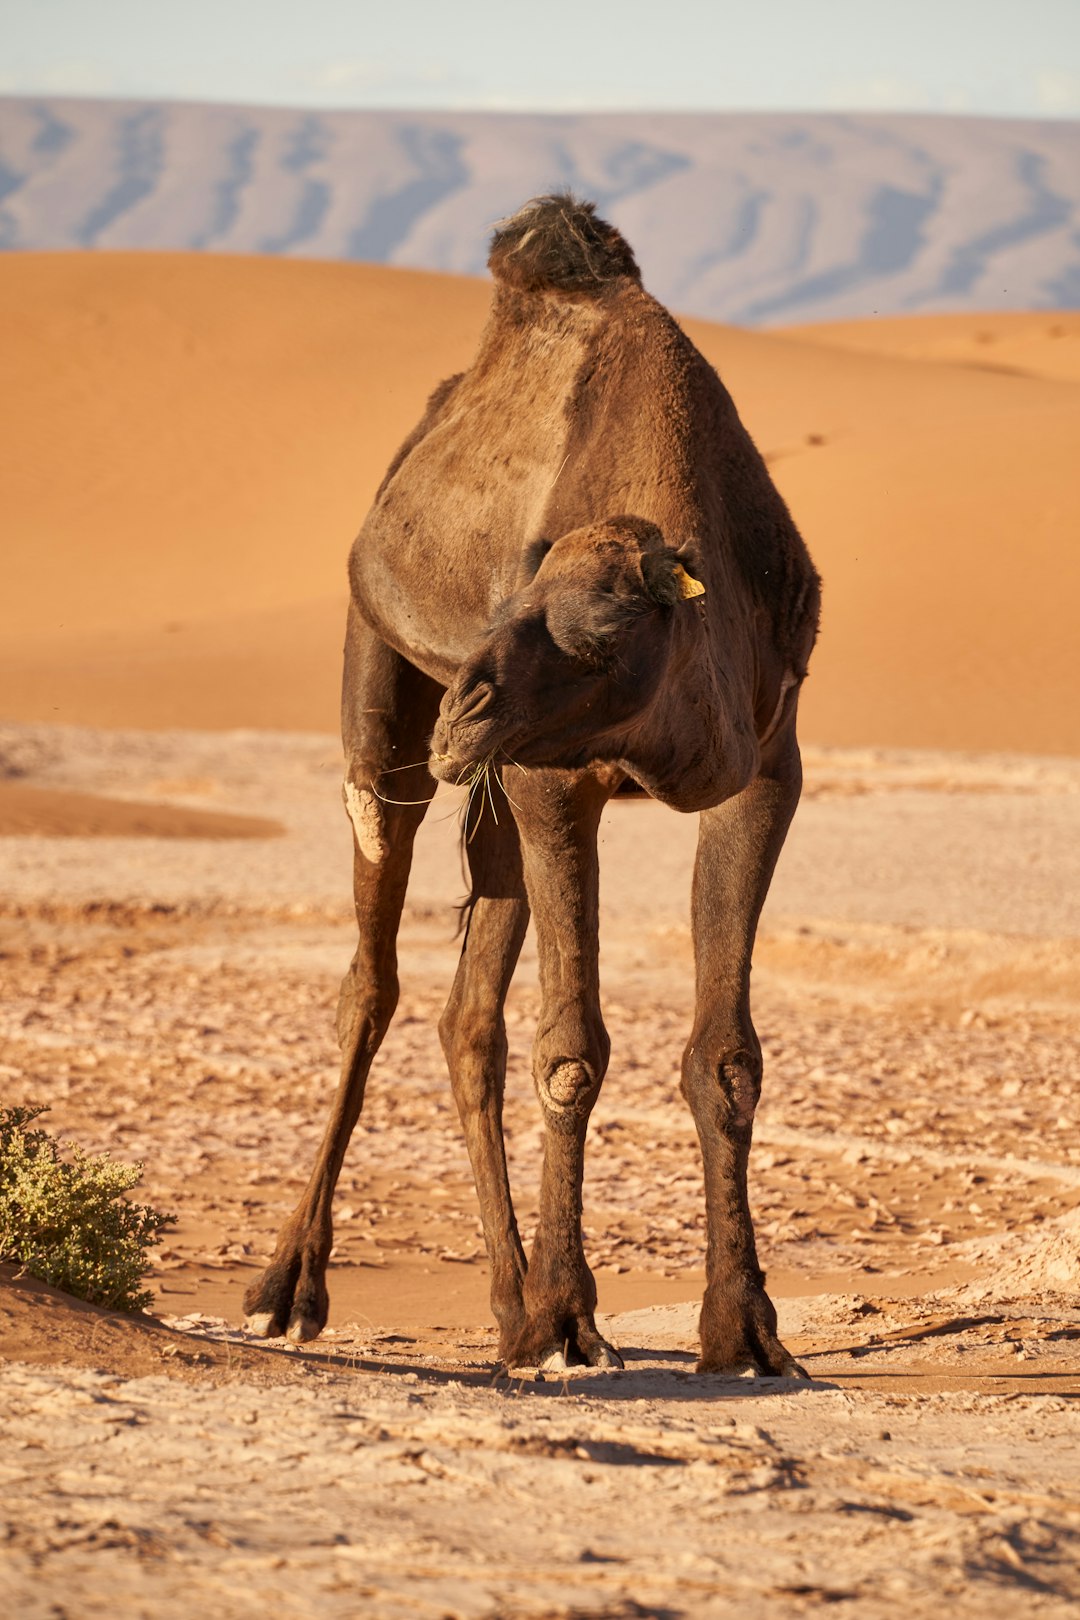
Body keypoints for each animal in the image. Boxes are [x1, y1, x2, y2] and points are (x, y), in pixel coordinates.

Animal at [242, 196, 819, 1373]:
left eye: (603, 620)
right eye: (512, 597)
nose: (467, 705)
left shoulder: (764, 772)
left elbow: (727, 1057)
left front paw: (744, 1329)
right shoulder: (559, 780)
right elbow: (573, 1049)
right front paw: (567, 1318)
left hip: (494, 791)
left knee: (469, 1017)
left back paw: (504, 1305)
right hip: (382, 690)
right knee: (371, 978)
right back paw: (292, 1288)